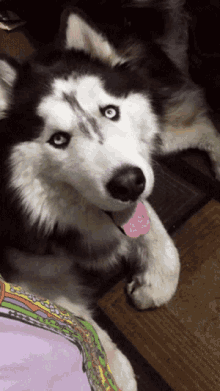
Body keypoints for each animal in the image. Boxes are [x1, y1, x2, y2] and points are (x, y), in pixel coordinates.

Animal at [1, 1, 220, 390]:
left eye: (110, 111)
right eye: (58, 139)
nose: (128, 183)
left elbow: (157, 234)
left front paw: (156, 278)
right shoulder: (23, 269)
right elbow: (73, 319)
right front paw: (109, 367)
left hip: (165, 129)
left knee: (205, 124)